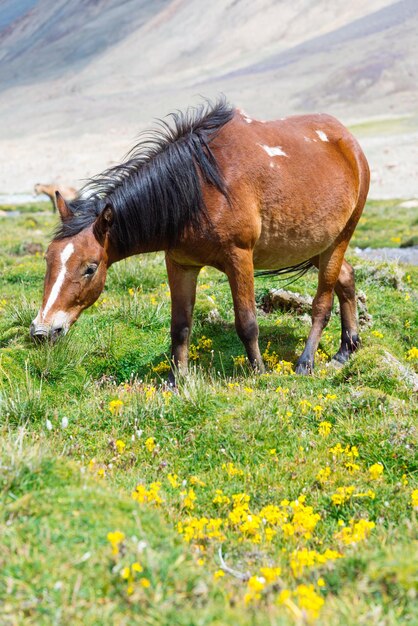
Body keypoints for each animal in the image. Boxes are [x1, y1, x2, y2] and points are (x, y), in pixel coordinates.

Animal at [29, 98, 370, 380]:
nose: (43, 331)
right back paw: (346, 349)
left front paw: (258, 372)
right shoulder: (180, 264)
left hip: (338, 240)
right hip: (317, 245)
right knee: (347, 277)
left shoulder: (239, 258)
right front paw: (176, 380)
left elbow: (247, 322)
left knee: (322, 304)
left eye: (89, 268)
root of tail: (349, 142)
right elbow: (180, 326)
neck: (197, 190)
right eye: (48, 260)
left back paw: (306, 362)